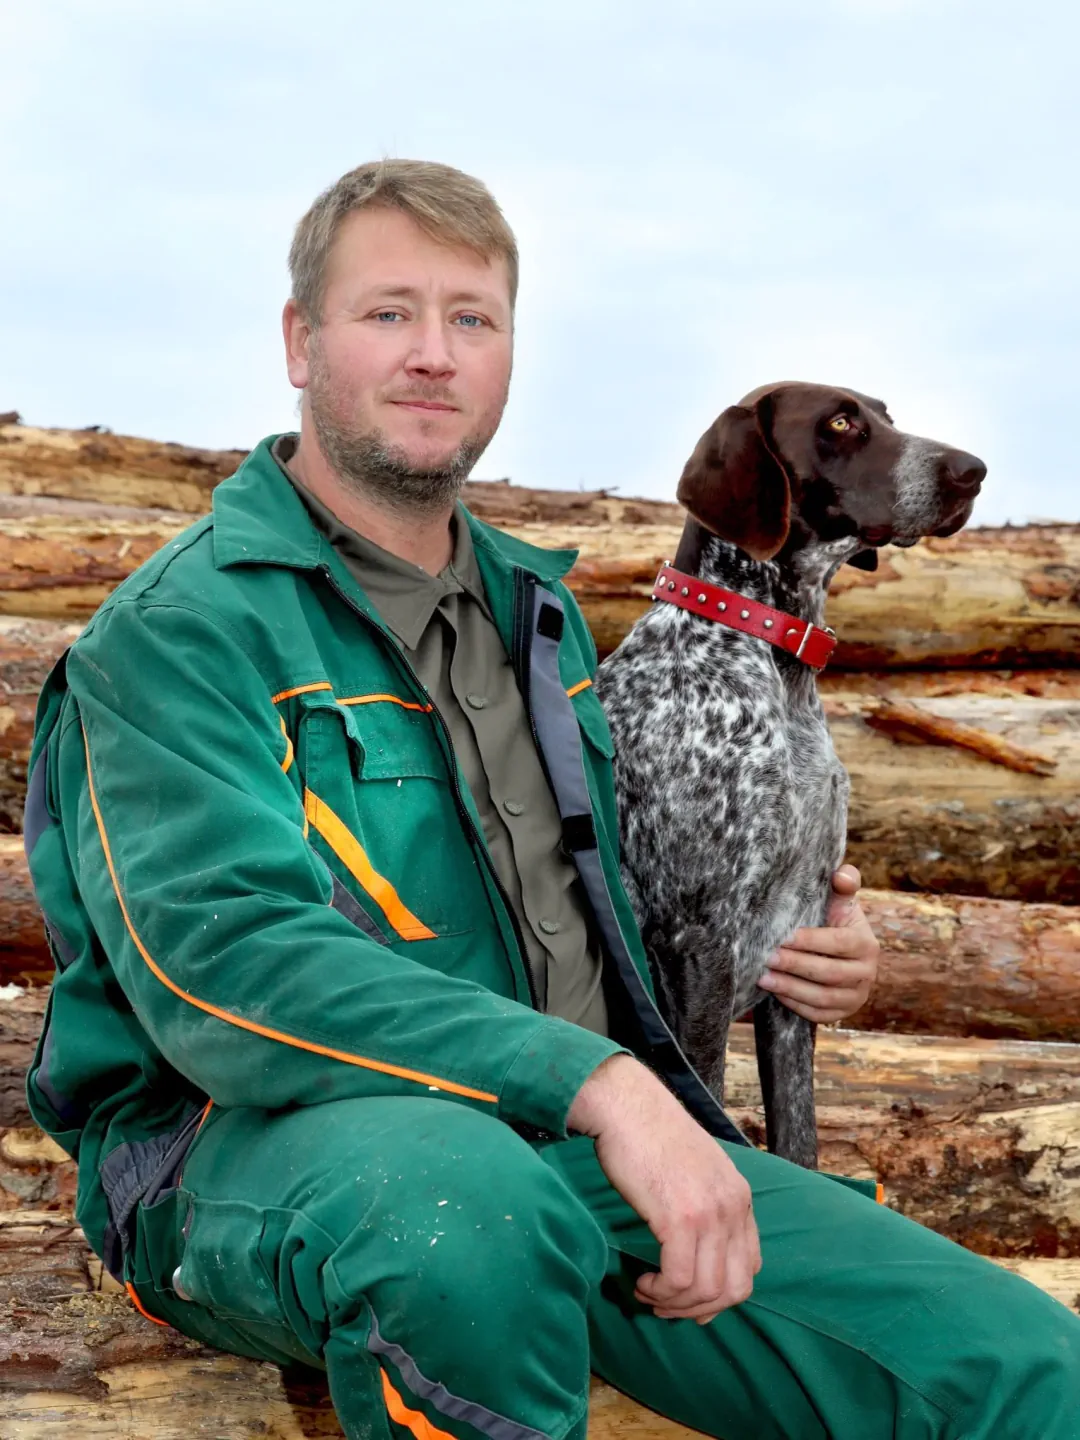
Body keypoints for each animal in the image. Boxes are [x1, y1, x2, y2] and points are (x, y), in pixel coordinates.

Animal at [596, 383, 984, 1169]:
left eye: (888, 416)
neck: (773, 657)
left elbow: (800, 1139)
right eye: (839, 422)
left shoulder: (800, 940)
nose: (973, 471)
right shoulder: (699, 942)